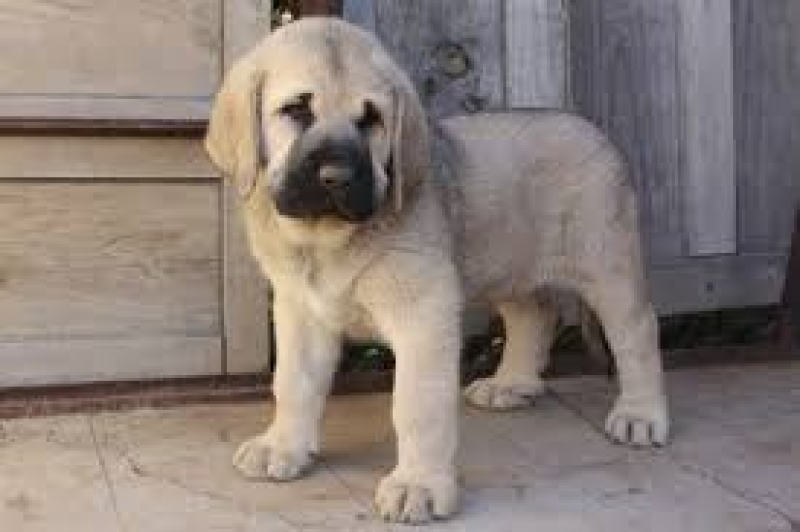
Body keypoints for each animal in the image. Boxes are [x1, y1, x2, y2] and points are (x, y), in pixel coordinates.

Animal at [205, 17, 669, 524]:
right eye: (295, 110)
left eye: (371, 119)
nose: (336, 177)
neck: (325, 240)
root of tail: (590, 128)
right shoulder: (300, 311)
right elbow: (293, 382)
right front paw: (283, 446)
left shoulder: (423, 313)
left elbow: (417, 406)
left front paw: (418, 483)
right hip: (512, 268)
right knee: (534, 316)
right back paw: (511, 384)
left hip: (608, 264)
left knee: (637, 333)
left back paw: (642, 414)